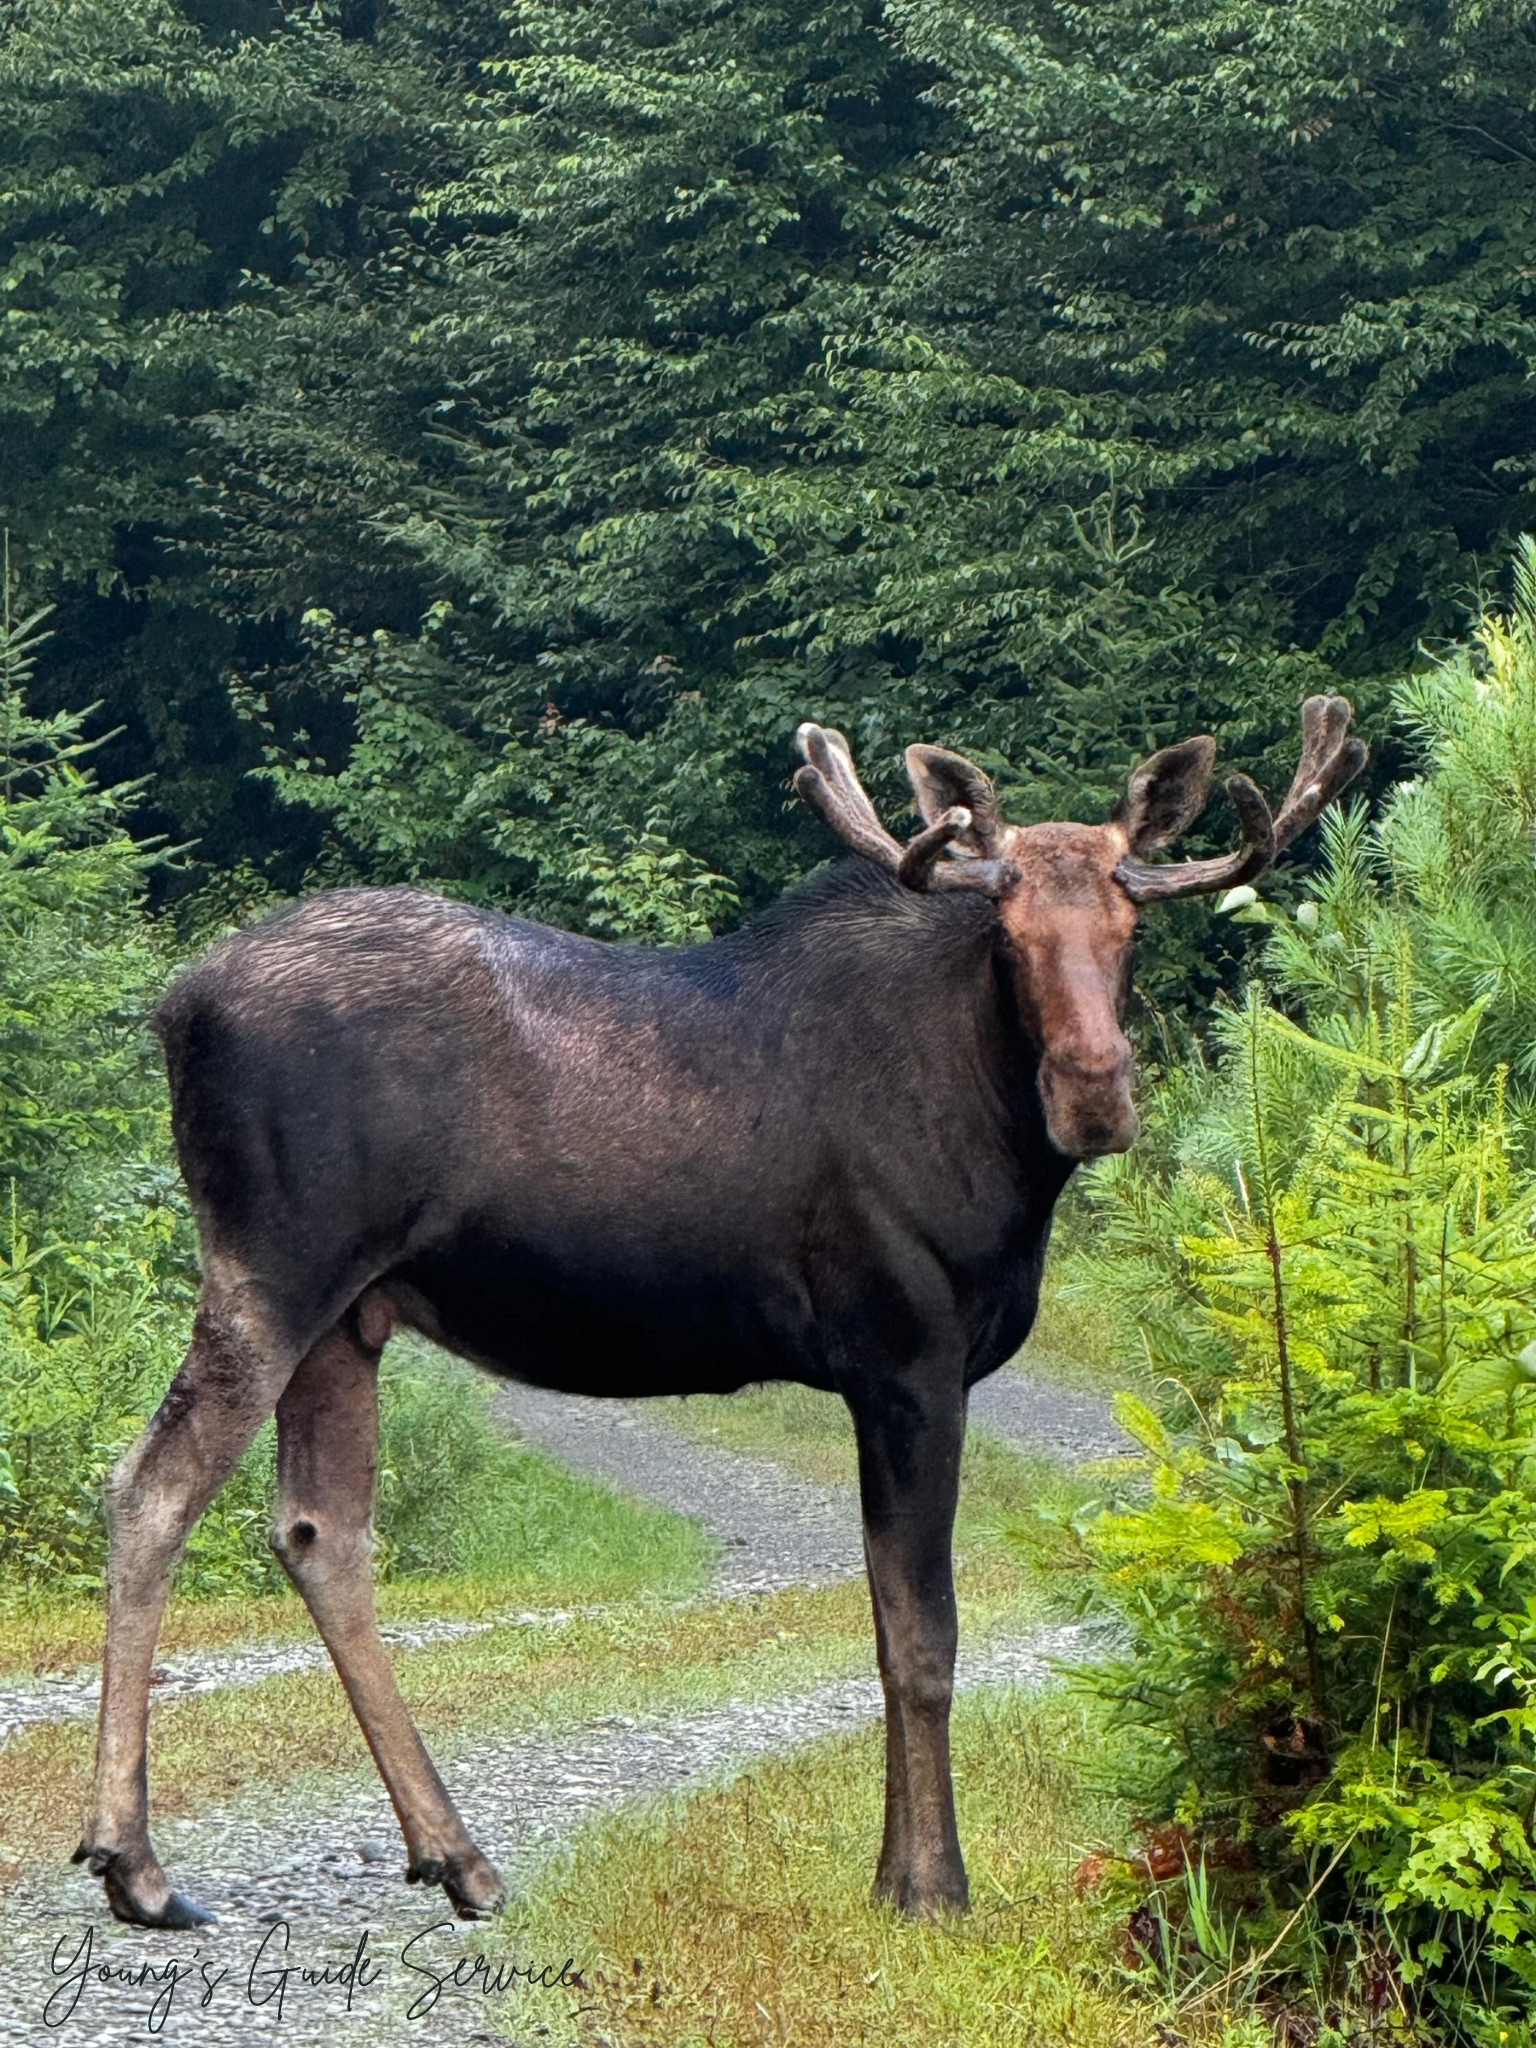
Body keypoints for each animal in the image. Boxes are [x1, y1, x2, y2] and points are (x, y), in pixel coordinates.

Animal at [74, 697, 1365, 1929]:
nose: (1096, 1090)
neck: (1003, 1147)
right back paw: (134, 1862)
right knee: (151, 1486)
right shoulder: (906, 1348)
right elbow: (925, 1633)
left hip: (352, 1309)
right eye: (1009, 934)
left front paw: (890, 1873)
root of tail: (172, 1008)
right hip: (275, 1266)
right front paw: (934, 1884)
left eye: (1130, 928)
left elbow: (886, 1623)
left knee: (319, 1531)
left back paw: (457, 1855)